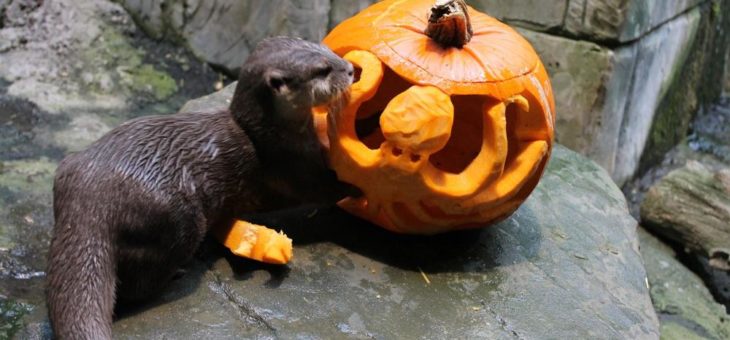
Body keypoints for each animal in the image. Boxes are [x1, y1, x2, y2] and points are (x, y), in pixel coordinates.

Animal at [45, 35, 356, 338]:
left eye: (327, 50)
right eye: (322, 70)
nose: (352, 69)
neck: (268, 135)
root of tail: (89, 198)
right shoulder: (293, 167)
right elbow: (328, 187)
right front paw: (356, 191)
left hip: (70, 168)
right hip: (176, 216)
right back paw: (176, 273)